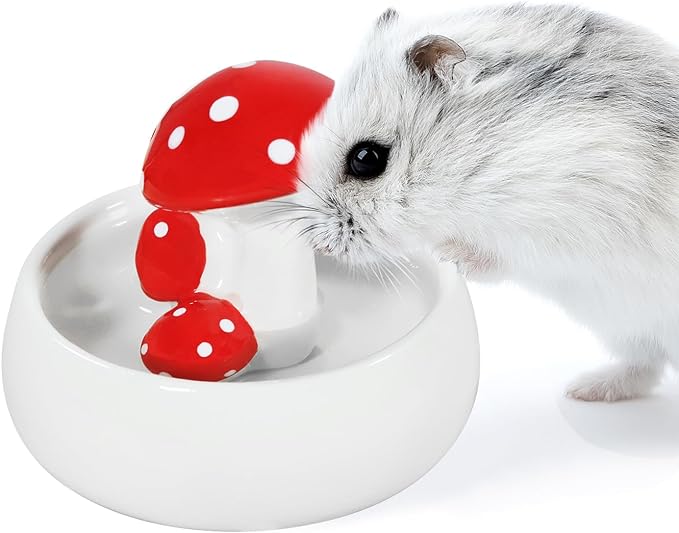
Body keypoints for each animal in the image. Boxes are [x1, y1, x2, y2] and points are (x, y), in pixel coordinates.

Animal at [293, 4, 679, 402]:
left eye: (366, 159)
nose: (318, 247)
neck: (487, 156)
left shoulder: (562, 224)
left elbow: (500, 257)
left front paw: (448, 255)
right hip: (627, 330)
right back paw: (583, 389)